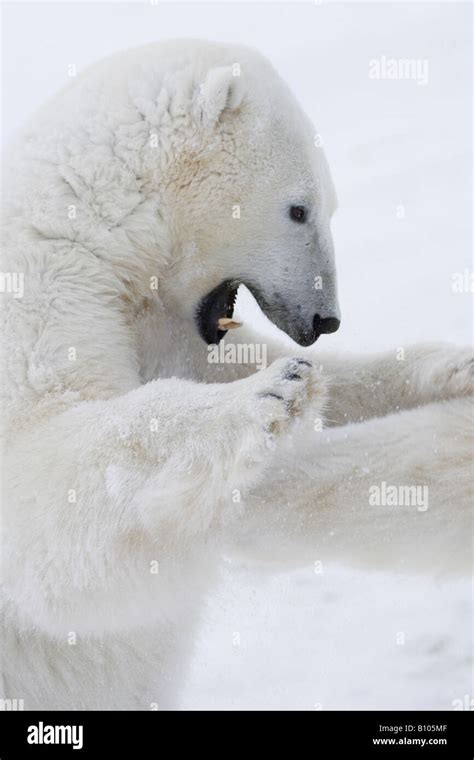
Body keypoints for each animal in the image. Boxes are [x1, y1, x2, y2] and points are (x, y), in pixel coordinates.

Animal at [0, 40, 472, 708]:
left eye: (329, 207)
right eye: (299, 209)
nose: (325, 318)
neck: (92, 226)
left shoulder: (165, 326)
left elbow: (250, 365)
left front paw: (448, 366)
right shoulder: (36, 287)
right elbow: (41, 475)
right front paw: (271, 394)